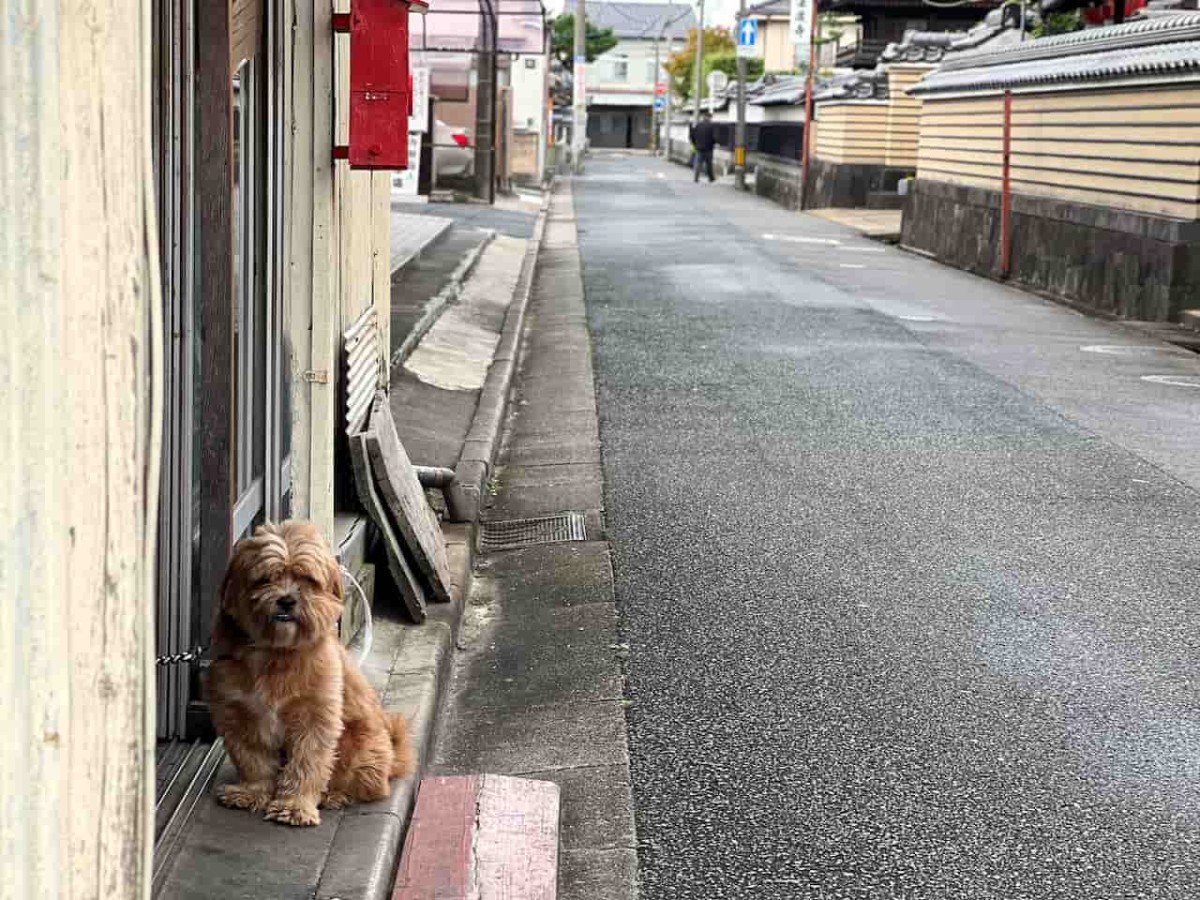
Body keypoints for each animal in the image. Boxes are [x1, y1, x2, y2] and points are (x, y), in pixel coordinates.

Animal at [206, 520, 412, 825]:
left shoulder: (315, 718)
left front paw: (294, 805)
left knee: (367, 786)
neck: (276, 652)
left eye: (307, 580)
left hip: (360, 750)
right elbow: (253, 760)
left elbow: (307, 762)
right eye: (265, 579)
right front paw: (252, 793)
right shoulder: (239, 714)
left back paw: (333, 795)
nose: (286, 600)